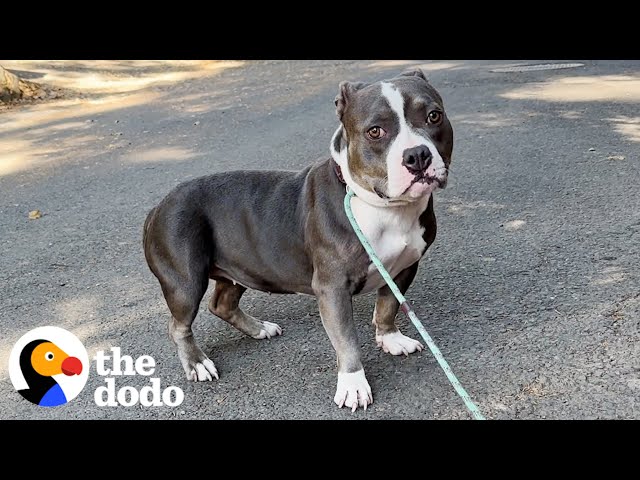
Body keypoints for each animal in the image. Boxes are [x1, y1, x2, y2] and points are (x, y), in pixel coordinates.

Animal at [142, 69, 452, 410]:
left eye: (434, 115)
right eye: (375, 131)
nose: (417, 154)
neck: (381, 207)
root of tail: (158, 207)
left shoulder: (404, 267)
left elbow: (388, 304)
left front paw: (390, 338)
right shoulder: (332, 288)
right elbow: (346, 340)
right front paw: (353, 383)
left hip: (240, 268)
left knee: (221, 303)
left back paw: (258, 328)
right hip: (185, 282)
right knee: (179, 325)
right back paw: (197, 362)